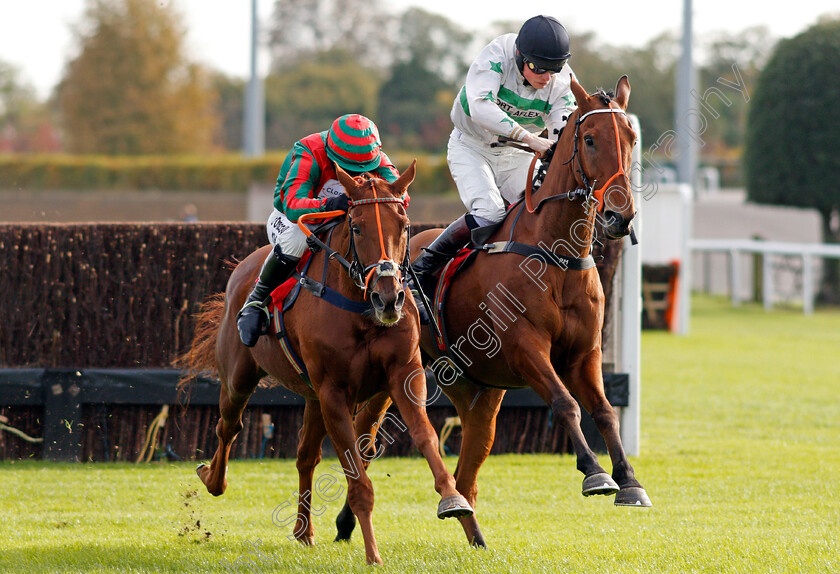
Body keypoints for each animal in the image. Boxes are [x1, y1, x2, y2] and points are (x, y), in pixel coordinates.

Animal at [177, 163, 472, 568]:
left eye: (404, 224)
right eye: (357, 226)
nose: (389, 297)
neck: (361, 308)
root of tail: (243, 268)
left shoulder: (402, 374)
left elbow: (425, 435)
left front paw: (454, 500)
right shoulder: (333, 391)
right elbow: (355, 473)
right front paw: (373, 554)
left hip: (312, 396)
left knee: (305, 456)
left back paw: (304, 530)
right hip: (240, 377)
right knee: (229, 426)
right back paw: (212, 479)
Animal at [334, 76, 648, 548]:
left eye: (631, 138)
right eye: (590, 139)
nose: (620, 214)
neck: (555, 254)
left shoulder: (584, 354)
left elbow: (606, 410)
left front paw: (629, 481)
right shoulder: (525, 347)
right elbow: (565, 403)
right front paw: (595, 473)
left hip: (476, 388)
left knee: (472, 454)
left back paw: (469, 528)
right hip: (399, 370)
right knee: (367, 435)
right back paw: (347, 521)